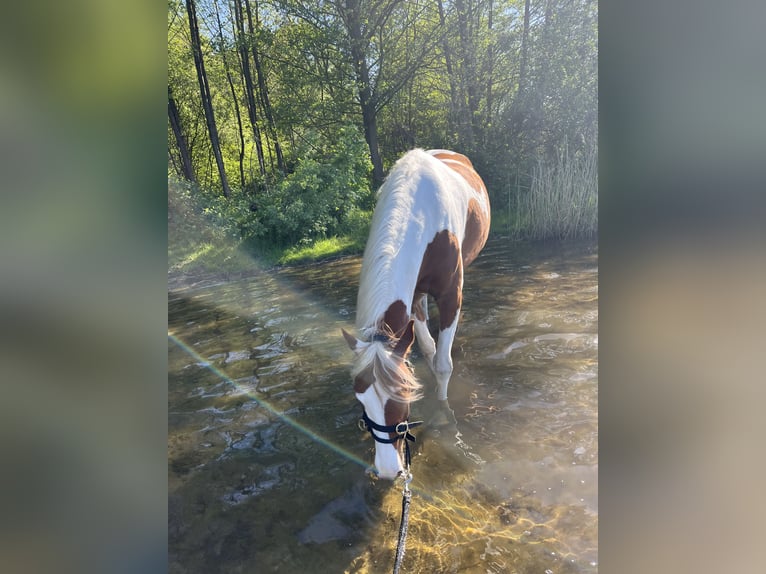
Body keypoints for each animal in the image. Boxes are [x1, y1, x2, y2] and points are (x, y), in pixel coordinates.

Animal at [342, 149, 490, 480]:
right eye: (361, 401)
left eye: (401, 399)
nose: (387, 470)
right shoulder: (414, 297)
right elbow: (427, 347)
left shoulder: (450, 296)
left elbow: (444, 364)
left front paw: (443, 412)